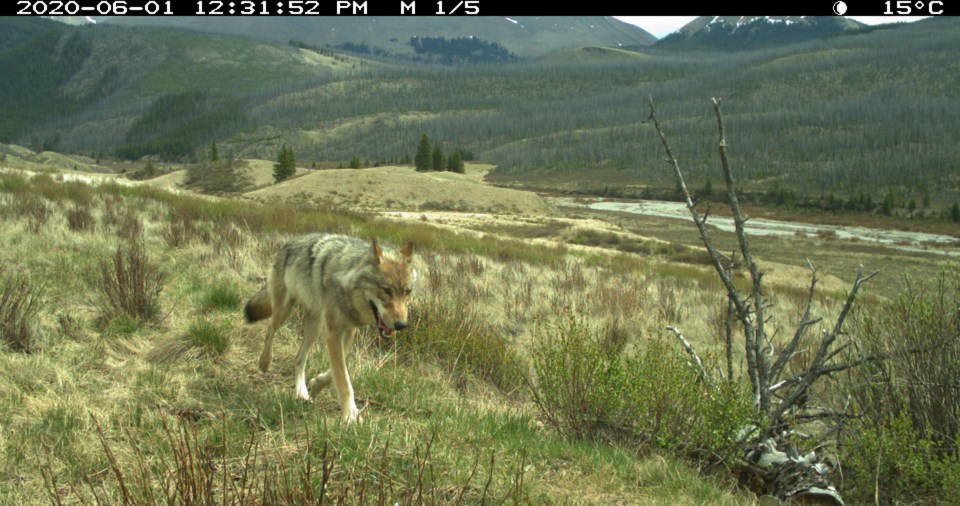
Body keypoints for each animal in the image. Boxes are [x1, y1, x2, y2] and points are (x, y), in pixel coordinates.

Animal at [244, 234, 412, 422]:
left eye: (407, 292)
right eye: (386, 290)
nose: (401, 325)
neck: (345, 283)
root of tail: (289, 242)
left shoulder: (349, 331)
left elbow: (337, 371)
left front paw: (316, 385)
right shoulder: (333, 334)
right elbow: (343, 380)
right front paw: (350, 416)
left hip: (315, 326)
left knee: (299, 358)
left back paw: (301, 392)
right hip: (283, 311)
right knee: (269, 330)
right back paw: (264, 362)